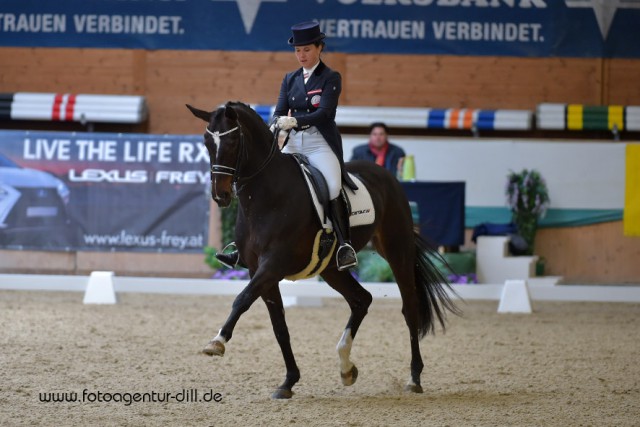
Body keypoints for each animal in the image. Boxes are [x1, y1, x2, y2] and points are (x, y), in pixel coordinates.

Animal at [188, 102, 458, 400]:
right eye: (206, 142)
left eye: (233, 140)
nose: (220, 196)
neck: (266, 197)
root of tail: (387, 175)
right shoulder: (259, 270)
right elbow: (279, 326)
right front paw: (288, 382)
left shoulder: (273, 265)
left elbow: (242, 300)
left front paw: (217, 342)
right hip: (331, 269)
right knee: (361, 300)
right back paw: (347, 368)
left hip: (397, 250)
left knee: (409, 308)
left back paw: (414, 378)